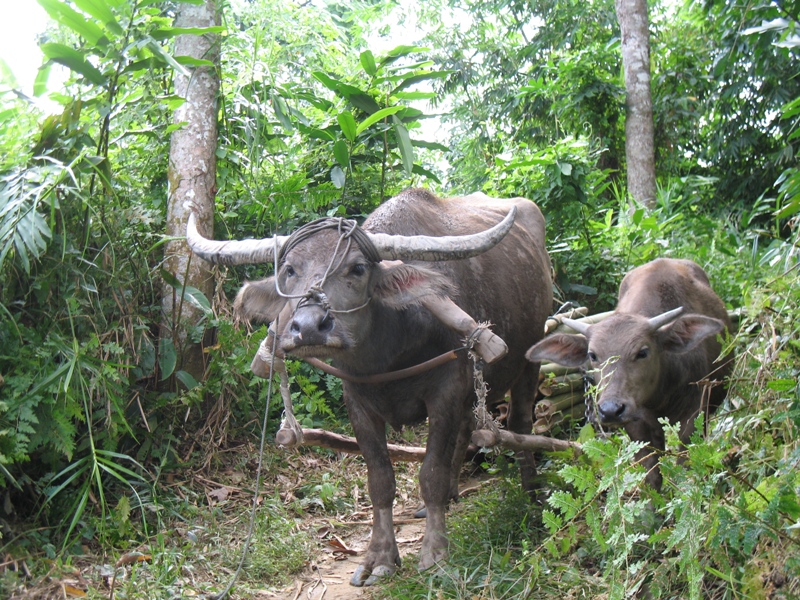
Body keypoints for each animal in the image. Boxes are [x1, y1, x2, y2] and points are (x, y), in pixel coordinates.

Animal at [185, 189, 552, 584]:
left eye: (358, 269)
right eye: (290, 270)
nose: (309, 327)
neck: (393, 347)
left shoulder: (446, 392)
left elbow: (431, 474)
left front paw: (435, 552)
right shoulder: (358, 402)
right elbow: (380, 481)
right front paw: (379, 557)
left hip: (532, 355)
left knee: (520, 424)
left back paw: (532, 495)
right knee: (469, 428)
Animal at [524, 256, 732, 488]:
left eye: (642, 352)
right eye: (592, 355)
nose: (610, 410)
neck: (659, 396)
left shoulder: (695, 412)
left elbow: (686, 469)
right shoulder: (637, 425)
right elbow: (651, 474)